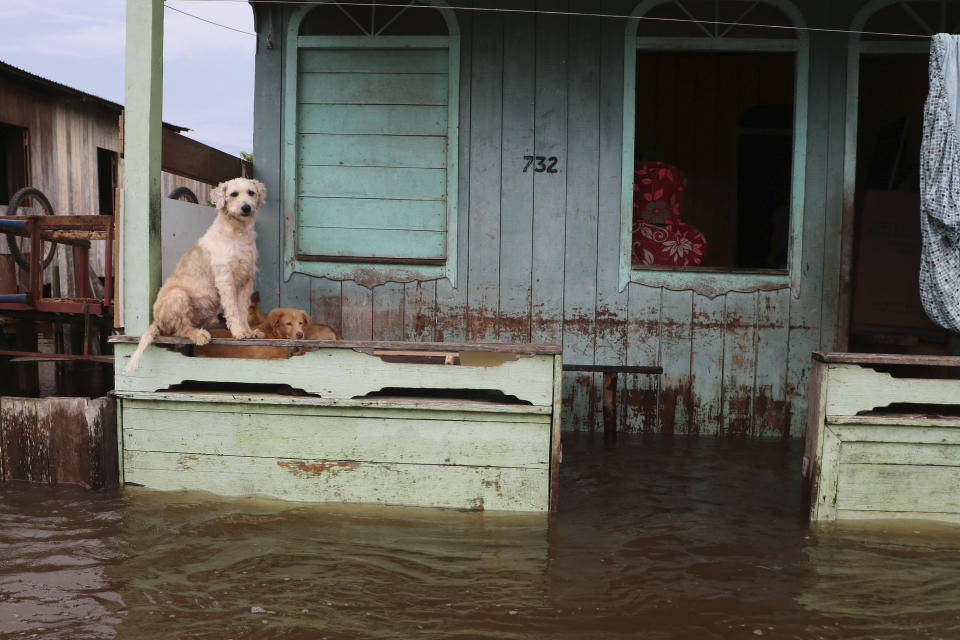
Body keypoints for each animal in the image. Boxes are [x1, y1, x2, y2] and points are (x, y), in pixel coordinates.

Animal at [125, 178, 266, 372]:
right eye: (233, 194)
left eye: (251, 193)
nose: (246, 207)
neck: (237, 231)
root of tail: (155, 320)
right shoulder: (225, 279)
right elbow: (233, 310)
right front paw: (239, 332)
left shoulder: (246, 280)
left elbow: (242, 310)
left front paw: (248, 332)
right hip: (178, 295)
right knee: (180, 330)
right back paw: (199, 335)